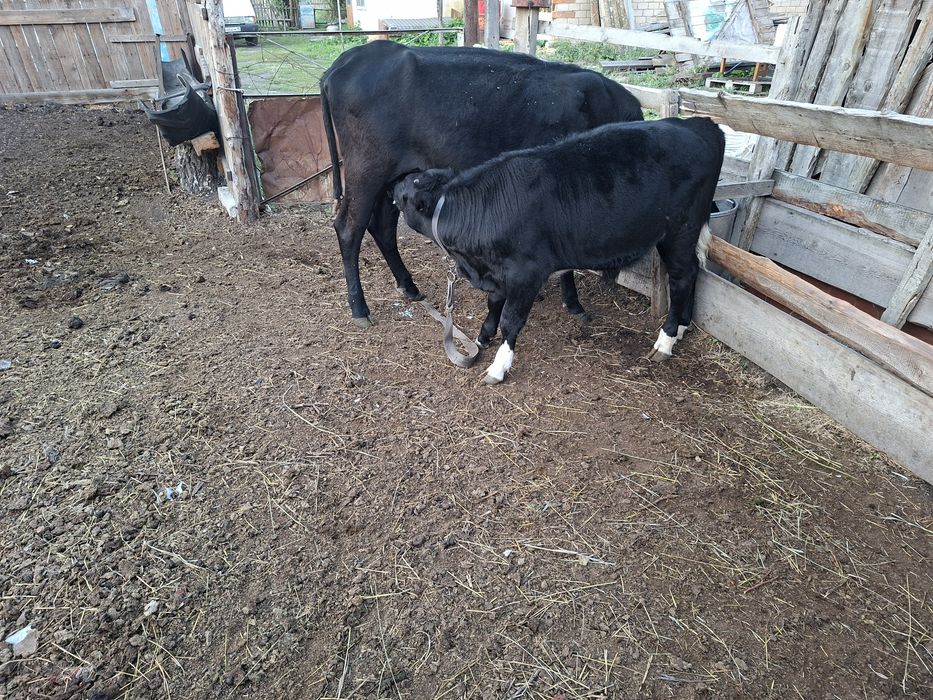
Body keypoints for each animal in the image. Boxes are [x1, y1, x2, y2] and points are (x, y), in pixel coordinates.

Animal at [319, 40, 643, 328]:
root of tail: (346, 61)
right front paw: (573, 302)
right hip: (366, 169)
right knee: (349, 228)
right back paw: (359, 308)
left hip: (393, 175)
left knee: (383, 226)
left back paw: (408, 285)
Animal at [393, 117, 726, 384]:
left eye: (406, 190)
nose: (393, 182)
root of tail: (700, 124)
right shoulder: (497, 272)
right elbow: (493, 304)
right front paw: (482, 337)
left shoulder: (526, 274)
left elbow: (511, 318)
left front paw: (499, 366)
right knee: (693, 271)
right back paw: (681, 328)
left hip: (680, 229)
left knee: (681, 276)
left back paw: (666, 340)